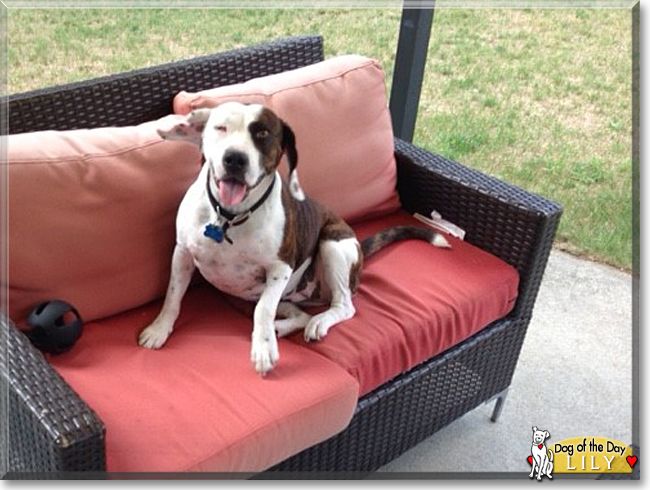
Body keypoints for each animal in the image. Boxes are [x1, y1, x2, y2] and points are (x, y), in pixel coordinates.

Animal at [137, 102, 450, 376]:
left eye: (263, 134)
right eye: (220, 127)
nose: (235, 158)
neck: (229, 217)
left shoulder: (280, 269)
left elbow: (263, 311)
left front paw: (263, 349)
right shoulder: (182, 253)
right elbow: (173, 296)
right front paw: (159, 329)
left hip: (332, 245)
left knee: (342, 306)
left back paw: (317, 322)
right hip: (268, 295)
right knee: (300, 314)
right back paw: (284, 327)